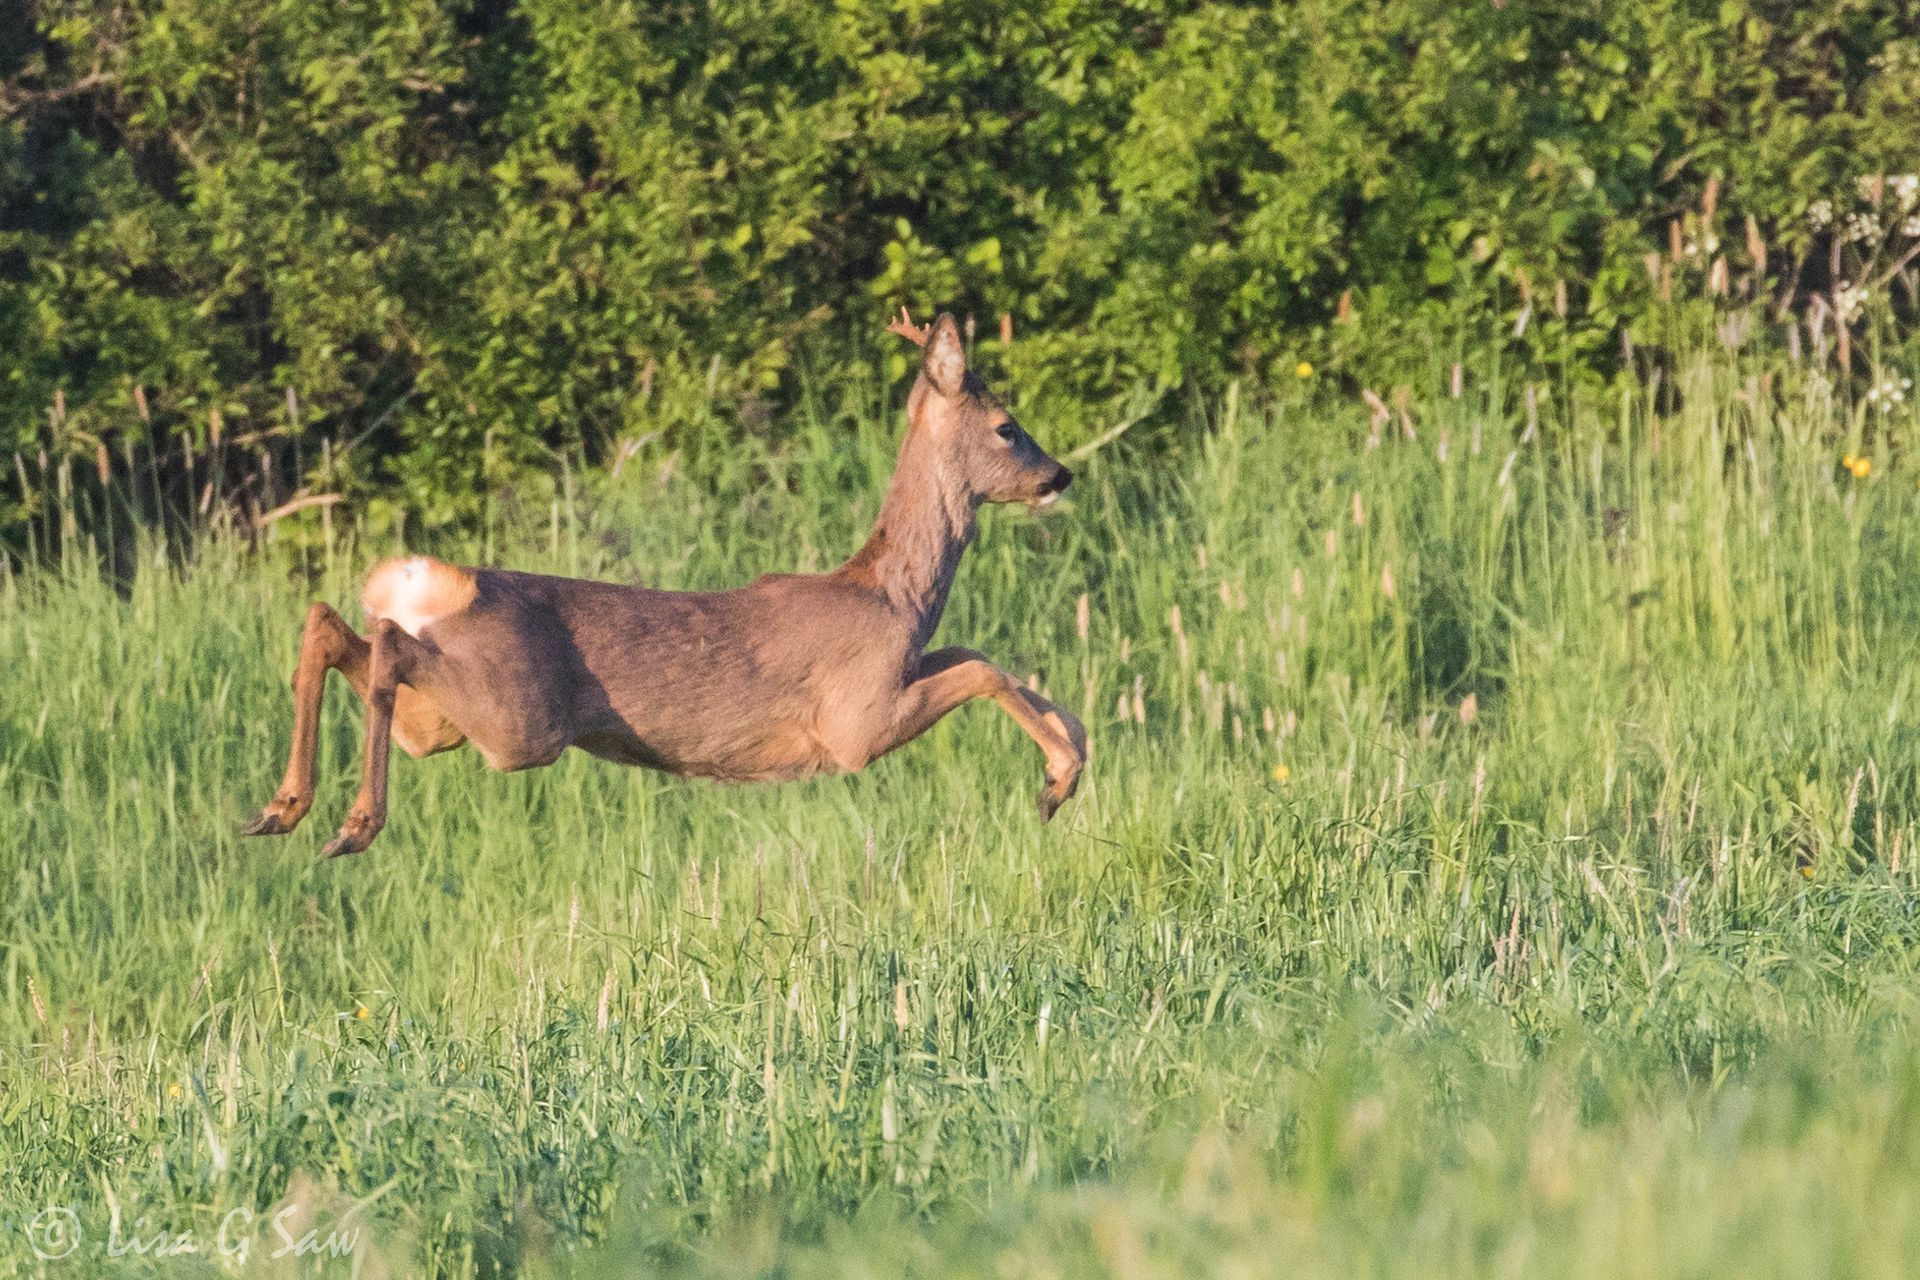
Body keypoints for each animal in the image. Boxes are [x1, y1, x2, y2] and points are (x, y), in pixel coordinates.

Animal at [243, 307, 1082, 859]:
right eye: (1007, 426)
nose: (1059, 474)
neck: (891, 597)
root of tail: (445, 589)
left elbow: (978, 654)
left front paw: (1071, 750)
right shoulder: (855, 723)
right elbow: (979, 669)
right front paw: (1059, 779)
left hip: (440, 725)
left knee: (333, 626)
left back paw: (281, 809)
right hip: (519, 722)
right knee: (383, 639)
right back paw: (350, 826)